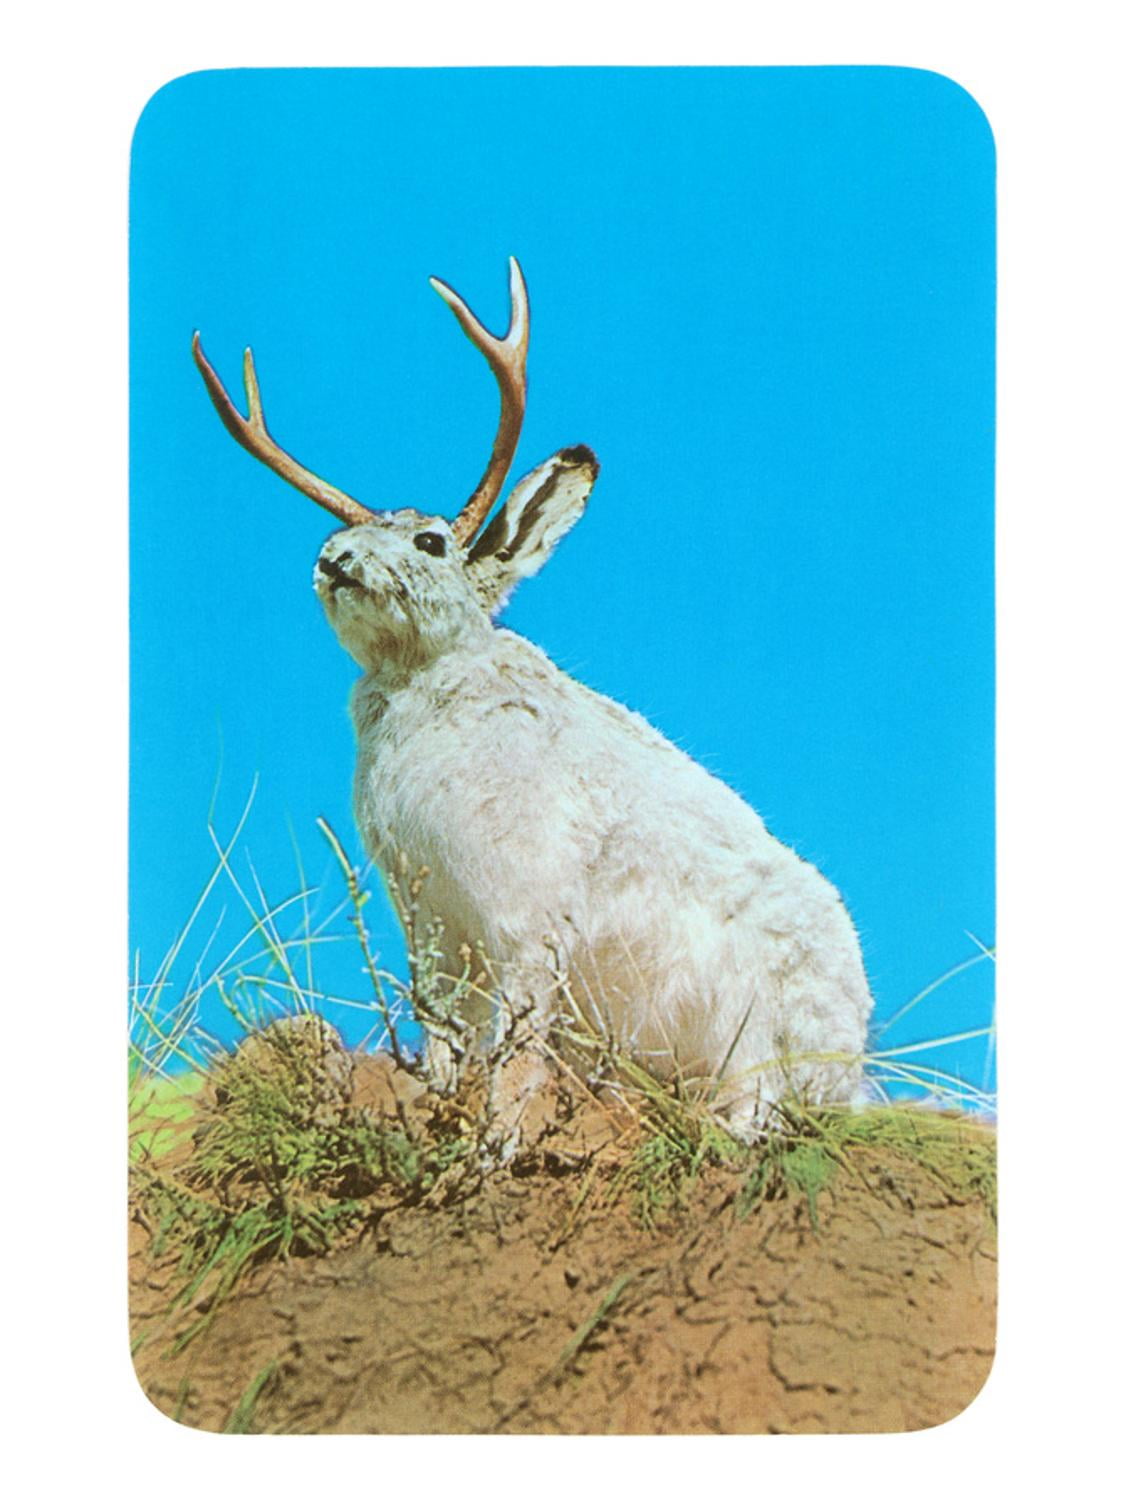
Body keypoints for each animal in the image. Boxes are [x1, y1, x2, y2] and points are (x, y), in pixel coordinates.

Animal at [193, 258, 873, 1139]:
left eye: (430, 543)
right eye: (346, 538)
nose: (333, 559)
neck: (426, 679)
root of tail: (851, 1054)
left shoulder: (525, 924)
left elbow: (518, 1055)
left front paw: (497, 1145)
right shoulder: (434, 932)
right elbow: (446, 1035)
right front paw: (443, 1105)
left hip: (754, 1042)